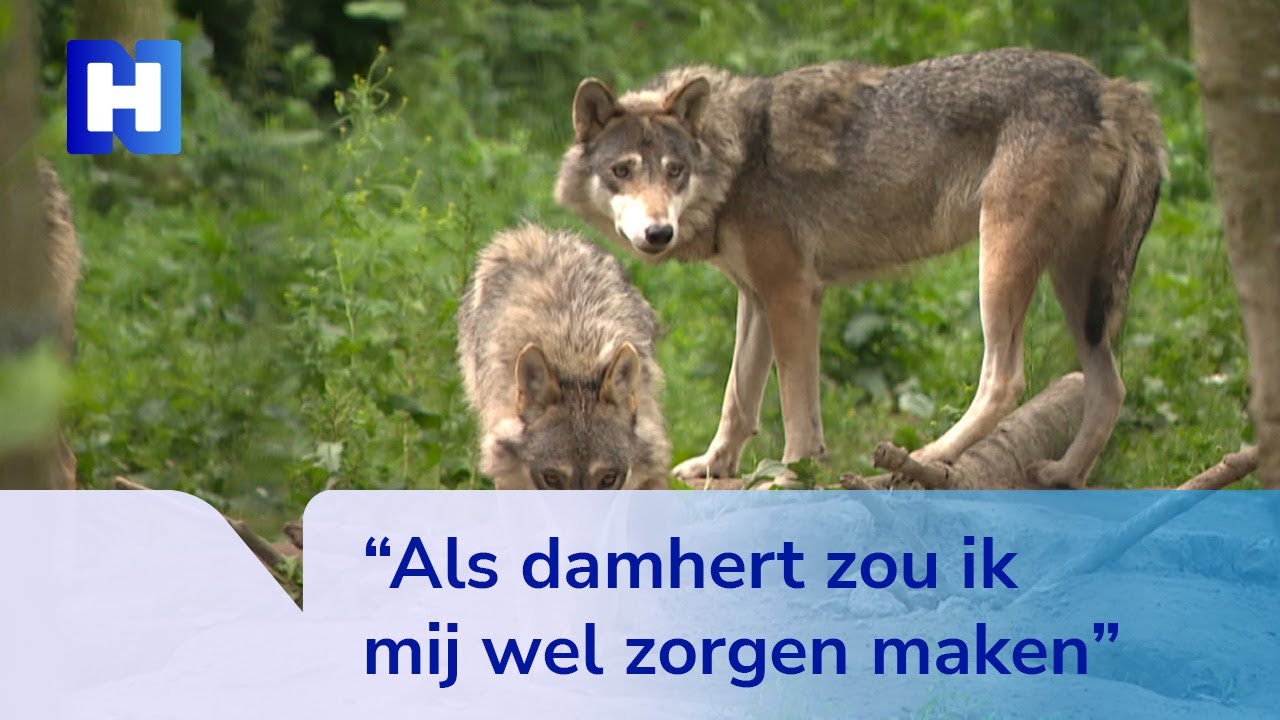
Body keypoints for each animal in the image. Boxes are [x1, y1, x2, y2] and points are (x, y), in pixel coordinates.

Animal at [555, 48, 1167, 488]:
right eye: (623, 171)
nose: (658, 232)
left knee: (1005, 378)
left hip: (1000, 264)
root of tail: (1113, 87)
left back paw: (930, 456)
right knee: (1109, 389)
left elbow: (796, 408)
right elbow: (738, 400)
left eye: (674, 171)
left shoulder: (792, 294)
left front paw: (792, 474)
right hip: (1076, 288)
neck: (738, 158)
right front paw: (714, 465)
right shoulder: (756, 298)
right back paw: (1063, 476)